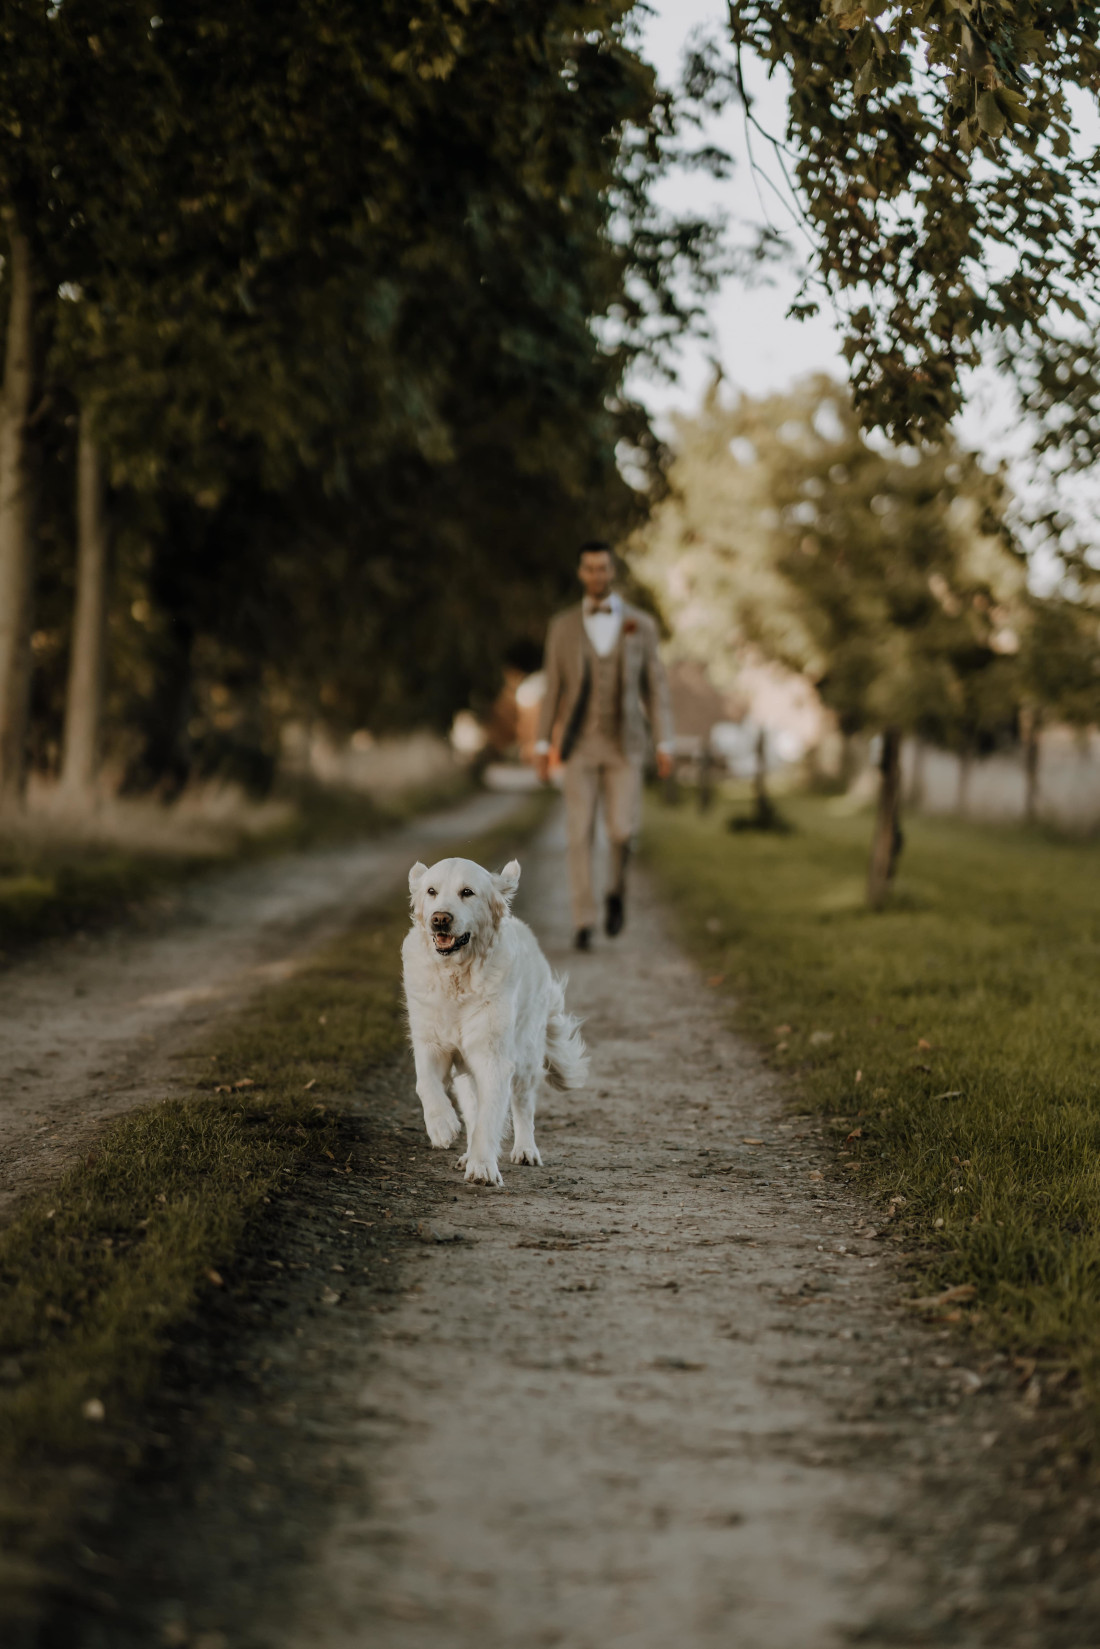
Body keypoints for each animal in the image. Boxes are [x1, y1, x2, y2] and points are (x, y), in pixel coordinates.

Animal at [402, 850, 590, 1187]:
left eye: (467, 892)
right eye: (431, 891)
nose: (440, 919)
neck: (456, 978)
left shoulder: (493, 1059)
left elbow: (490, 1118)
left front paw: (482, 1168)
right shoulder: (431, 1043)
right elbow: (426, 1085)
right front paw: (442, 1126)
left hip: (525, 1059)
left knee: (523, 1106)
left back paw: (526, 1151)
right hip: (467, 1075)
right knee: (472, 1107)